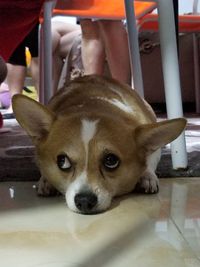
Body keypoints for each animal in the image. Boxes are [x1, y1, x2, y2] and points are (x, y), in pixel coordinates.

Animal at [12, 75, 186, 216]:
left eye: (111, 160)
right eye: (62, 161)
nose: (84, 201)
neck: (93, 104)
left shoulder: (153, 145)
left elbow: (149, 160)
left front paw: (147, 176)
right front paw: (46, 181)